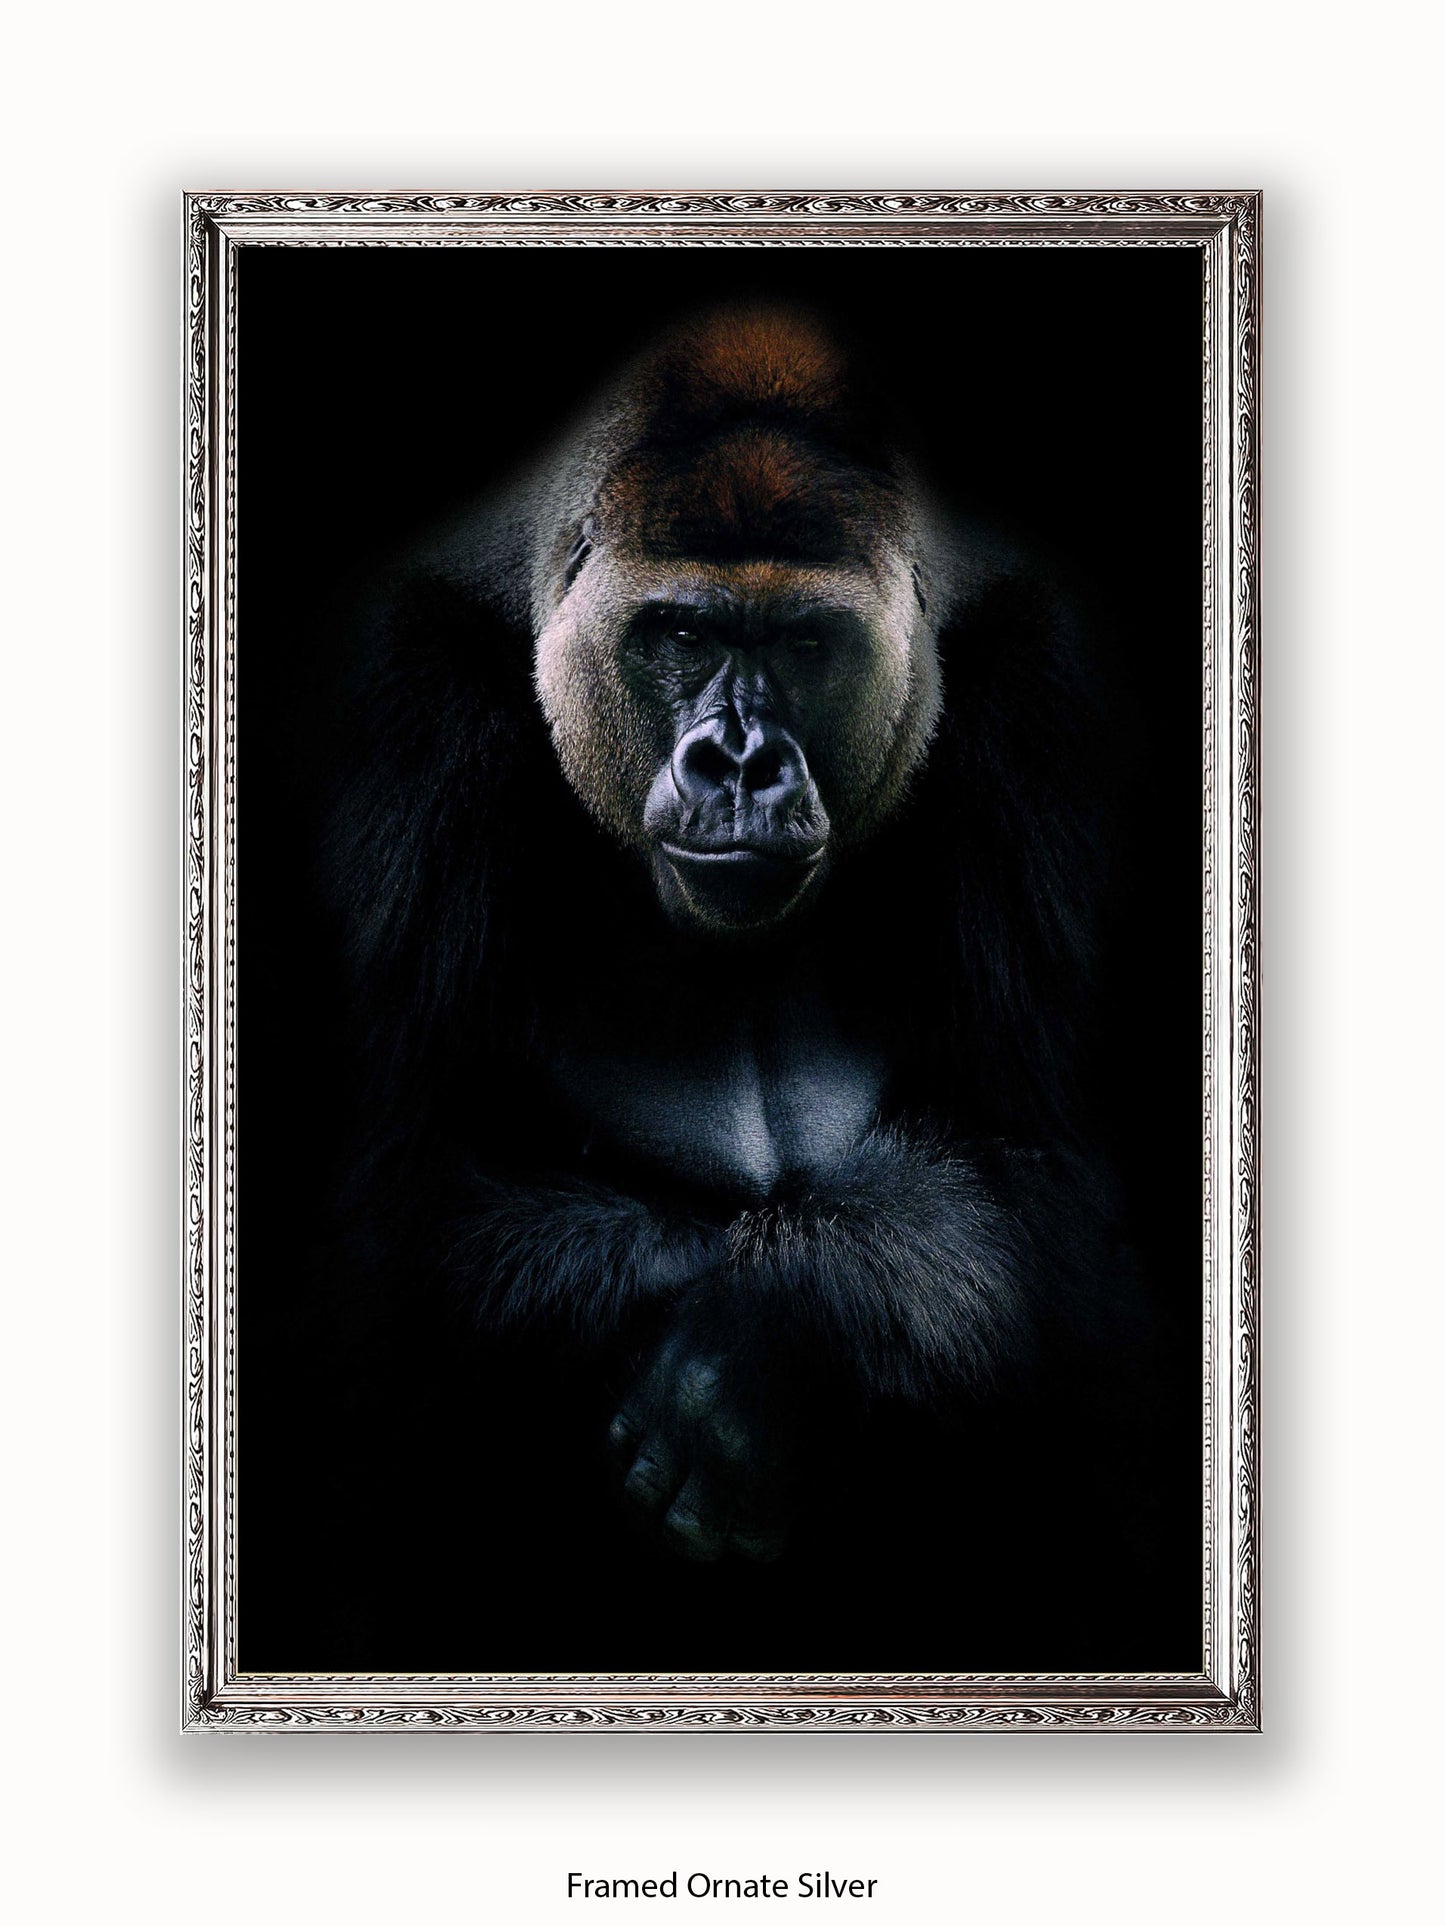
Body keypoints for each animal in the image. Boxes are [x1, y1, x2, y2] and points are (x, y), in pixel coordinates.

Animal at [310, 305, 1165, 1664]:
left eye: (804, 643)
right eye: (683, 633)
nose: (742, 762)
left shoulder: (1046, 681)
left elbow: (1039, 1181)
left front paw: (768, 1342)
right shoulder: (397, 693)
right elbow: (405, 1210)